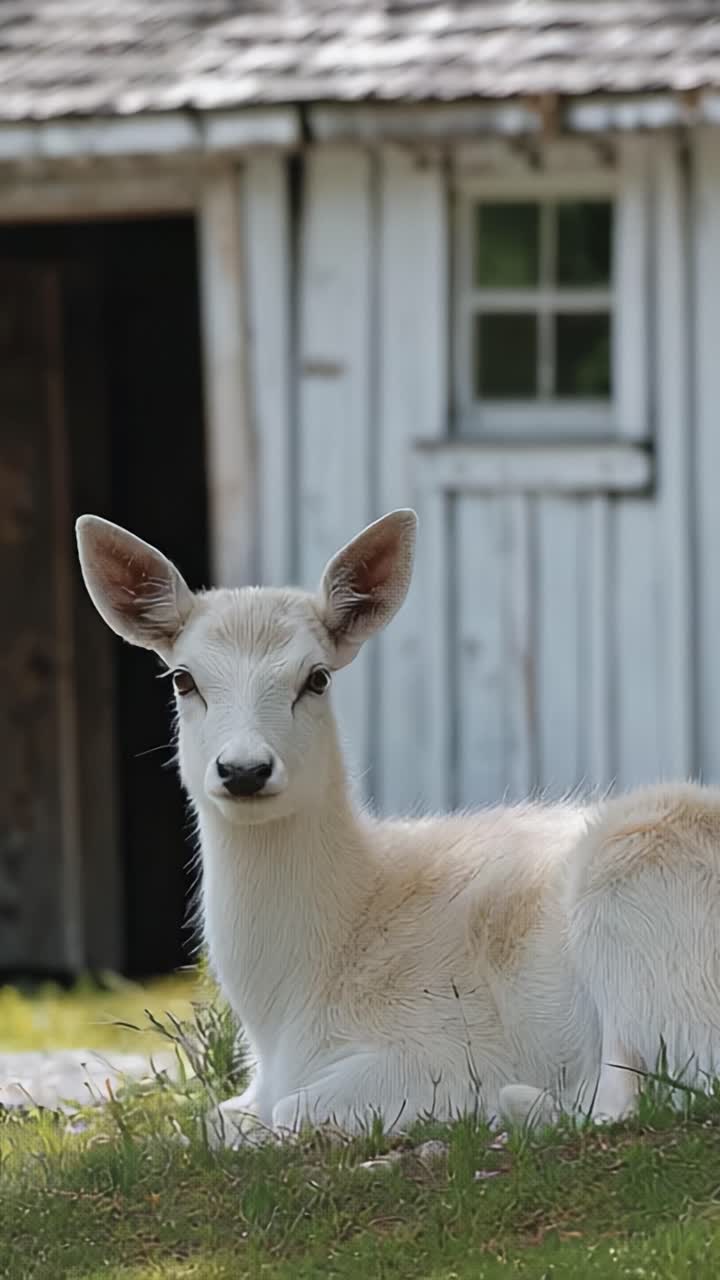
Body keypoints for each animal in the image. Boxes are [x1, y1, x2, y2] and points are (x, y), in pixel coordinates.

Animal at [76, 509, 720, 1144]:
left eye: (316, 677)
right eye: (182, 678)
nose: (245, 770)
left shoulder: (440, 1039)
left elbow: (291, 1111)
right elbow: (217, 1119)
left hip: (635, 894)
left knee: (645, 1092)